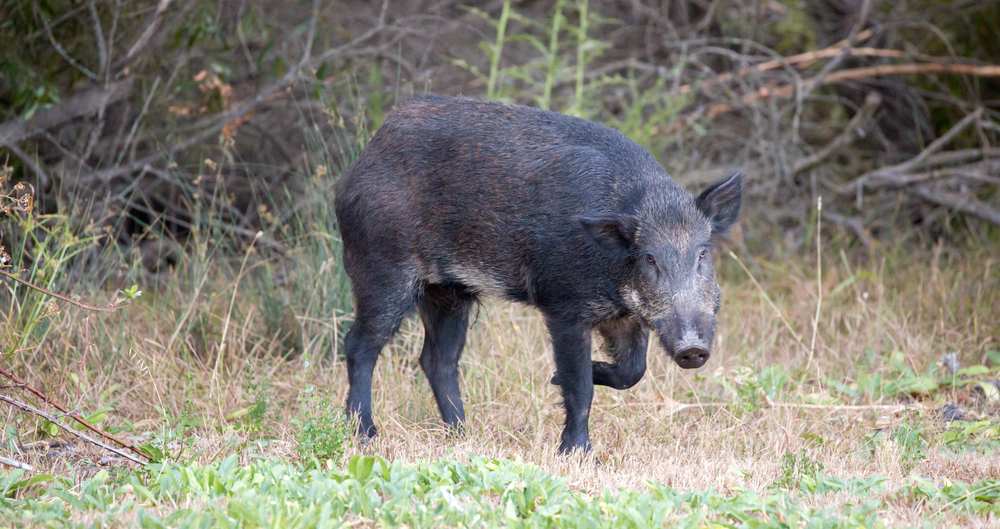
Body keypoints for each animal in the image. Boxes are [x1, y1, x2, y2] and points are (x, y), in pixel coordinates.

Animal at [334, 95, 741, 453]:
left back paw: (463, 436)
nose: (692, 348)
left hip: (449, 291)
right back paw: (365, 434)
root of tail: (356, 168)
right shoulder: (563, 306)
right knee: (359, 345)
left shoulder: (625, 318)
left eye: (702, 253)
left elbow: (632, 372)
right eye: (649, 258)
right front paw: (576, 451)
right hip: (382, 269)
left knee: (438, 360)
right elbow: (580, 386)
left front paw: (557, 381)